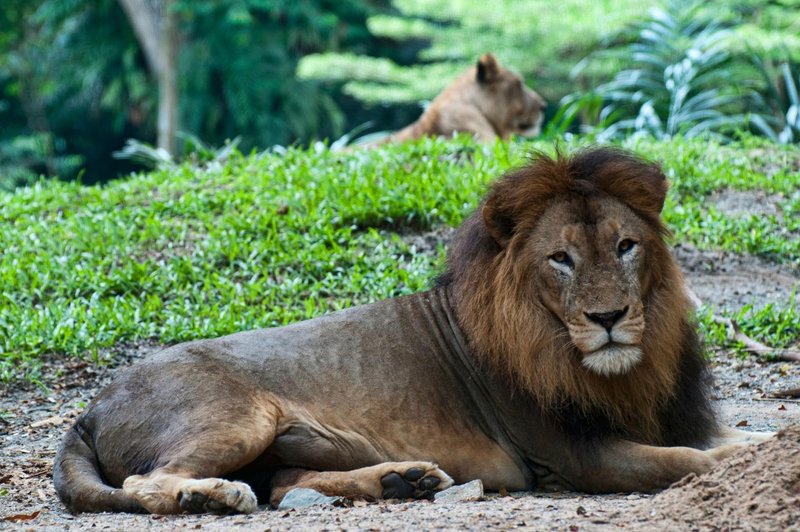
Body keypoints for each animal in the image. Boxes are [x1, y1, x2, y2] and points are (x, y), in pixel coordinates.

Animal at [54, 147, 768, 516]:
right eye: (560, 259)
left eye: (625, 246)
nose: (609, 318)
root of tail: (88, 410)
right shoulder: (572, 455)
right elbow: (685, 461)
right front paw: (732, 464)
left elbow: (735, 436)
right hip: (238, 416)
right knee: (152, 485)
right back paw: (214, 496)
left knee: (282, 484)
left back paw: (404, 481)